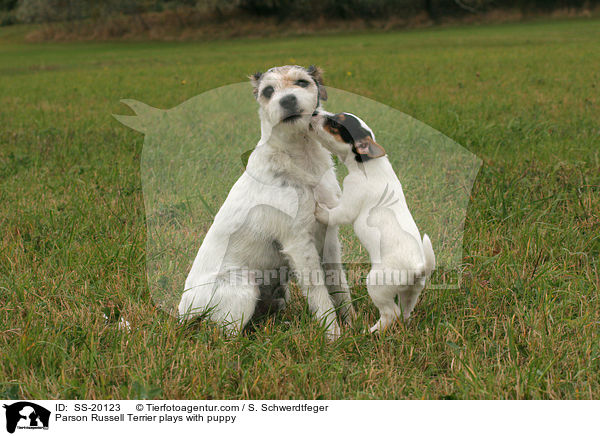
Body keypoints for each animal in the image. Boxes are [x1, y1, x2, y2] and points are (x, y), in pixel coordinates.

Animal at [177, 64, 352, 338]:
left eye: (302, 83)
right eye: (268, 91)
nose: (287, 100)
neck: (300, 157)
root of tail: (183, 313)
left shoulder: (329, 236)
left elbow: (339, 282)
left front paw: (353, 322)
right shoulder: (298, 243)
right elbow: (318, 291)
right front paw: (333, 334)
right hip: (245, 287)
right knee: (225, 336)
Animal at [310, 110, 436, 332]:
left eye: (335, 124)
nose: (315, 112)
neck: (368, 163)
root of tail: (418, 268)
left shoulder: (348, 206)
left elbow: (332, 213)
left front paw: (319, 207)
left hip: (376, 284)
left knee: (391, 313)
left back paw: (370, 331)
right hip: (411, 292)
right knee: (405, 312)